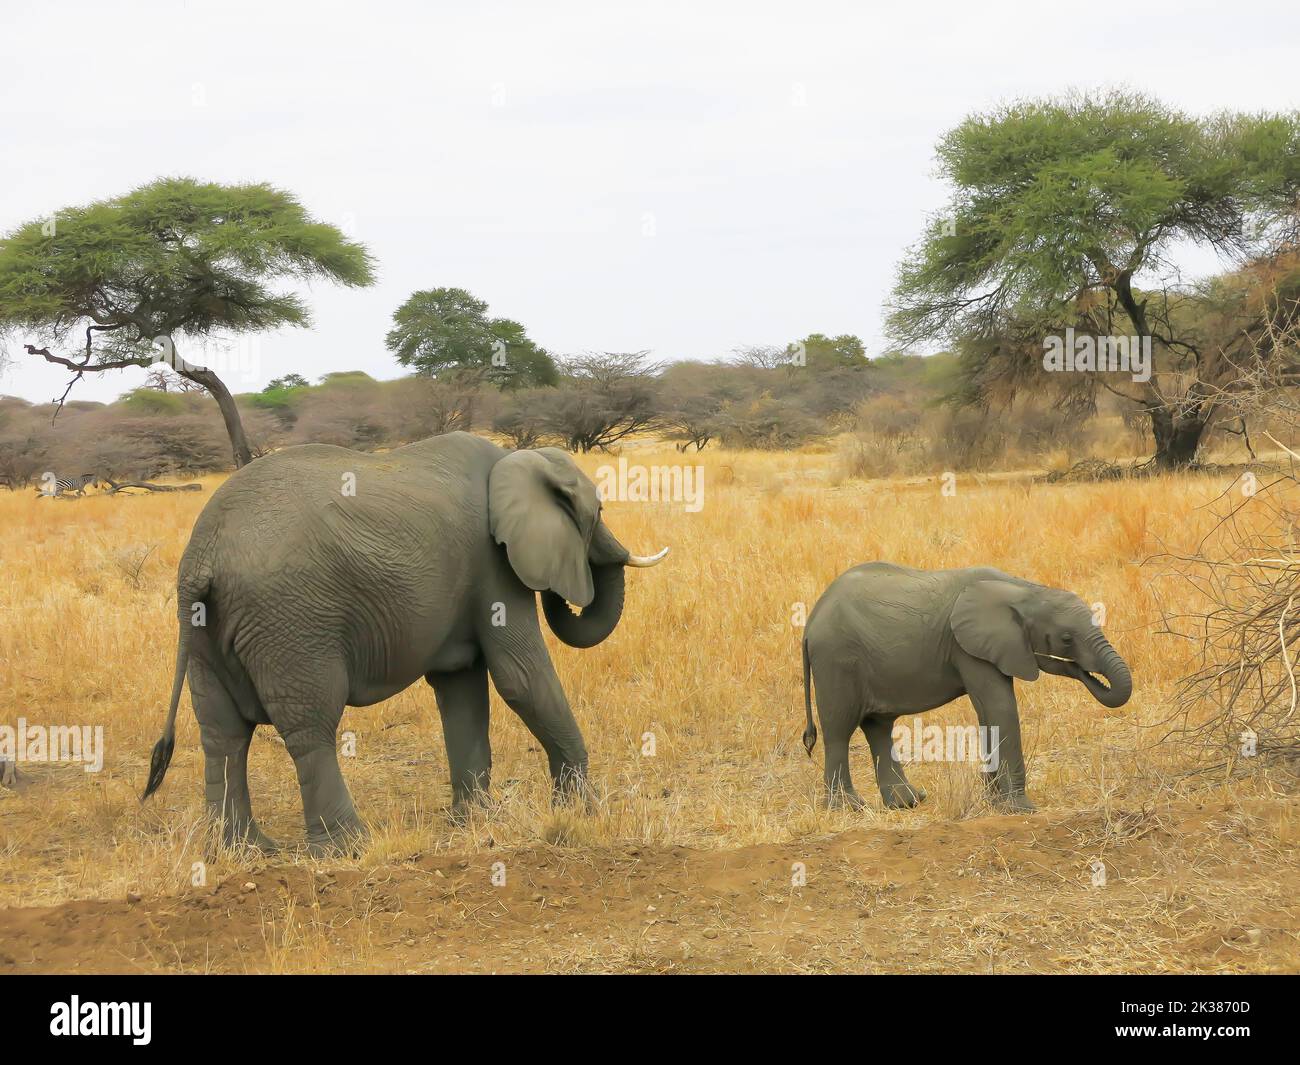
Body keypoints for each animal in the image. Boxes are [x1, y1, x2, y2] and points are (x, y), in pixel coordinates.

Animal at [143, 429, 670, 853]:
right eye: (597, 512)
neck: (517, 459)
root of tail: (203, 554)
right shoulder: (493, 565)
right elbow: (520, 677)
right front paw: (584, 810)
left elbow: (461, 687)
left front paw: (473, 819)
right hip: (290, 620)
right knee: (311, 727)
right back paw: (348, 847)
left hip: (205, 627)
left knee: (222, 733)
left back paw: (243, 850)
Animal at [800, 561, 1128, 811]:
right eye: (1066, 639)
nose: (1087, 672)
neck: (1025, 591)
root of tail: (811, 620)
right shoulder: (966, 646)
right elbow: (1000, 707)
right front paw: (1020, 809)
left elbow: (988, 713)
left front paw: (995, 803)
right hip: (836, 659)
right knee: (839, 731)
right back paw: (849, 808)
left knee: (878, 726)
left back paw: (908, 802)